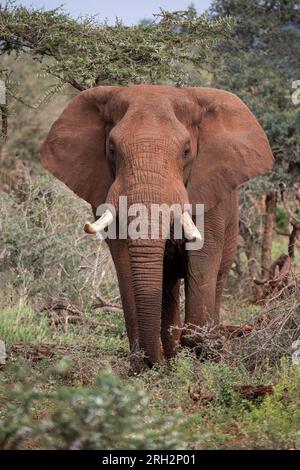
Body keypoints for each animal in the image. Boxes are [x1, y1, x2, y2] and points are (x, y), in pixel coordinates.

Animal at [41, 84, 274, 368]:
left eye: (186, 151)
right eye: (112, 149)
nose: (153, 362)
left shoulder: (209, 192)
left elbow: (203, 256)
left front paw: (200, 351)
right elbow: (124, 261)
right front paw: (143, 365)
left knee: (216, 278)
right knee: (168, 283)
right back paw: (172, 357)